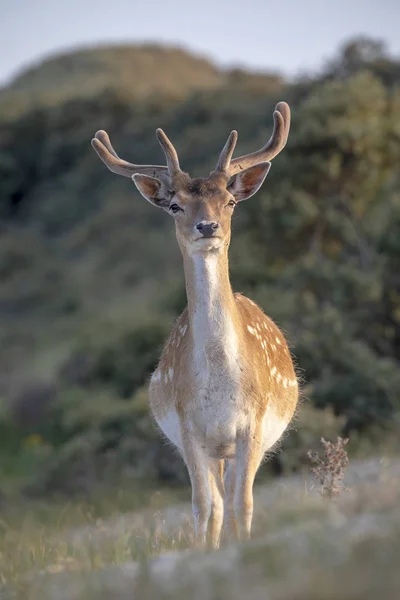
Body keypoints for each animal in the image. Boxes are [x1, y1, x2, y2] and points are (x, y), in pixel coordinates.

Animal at [92, 103, 298, 548]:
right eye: (175, 205)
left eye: (230, 201)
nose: (207, 227)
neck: (220, 381)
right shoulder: (190, 429)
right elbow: (204, 506)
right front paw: (206, 551)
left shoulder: (252, 424)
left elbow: (243, 504)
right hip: (212, 449)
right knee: (214, 503)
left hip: (239, 446)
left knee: (233, 497)